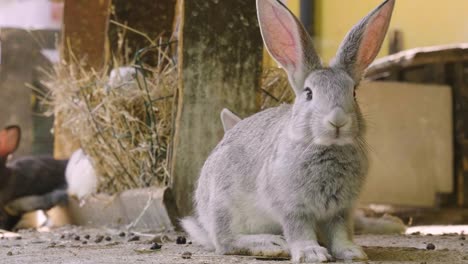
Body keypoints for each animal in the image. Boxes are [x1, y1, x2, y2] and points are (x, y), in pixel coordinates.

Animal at [183, 0, 394, 260]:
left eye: (353, 92)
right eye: (309, 93)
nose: (337, 120)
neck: (326, 148)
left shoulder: (341, 210)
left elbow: (340, 233)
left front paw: (352, 252)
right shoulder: (293, 209)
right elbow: (299, 230)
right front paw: (312, 253)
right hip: (223, 205)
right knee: (225, 242)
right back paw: (272, 245)